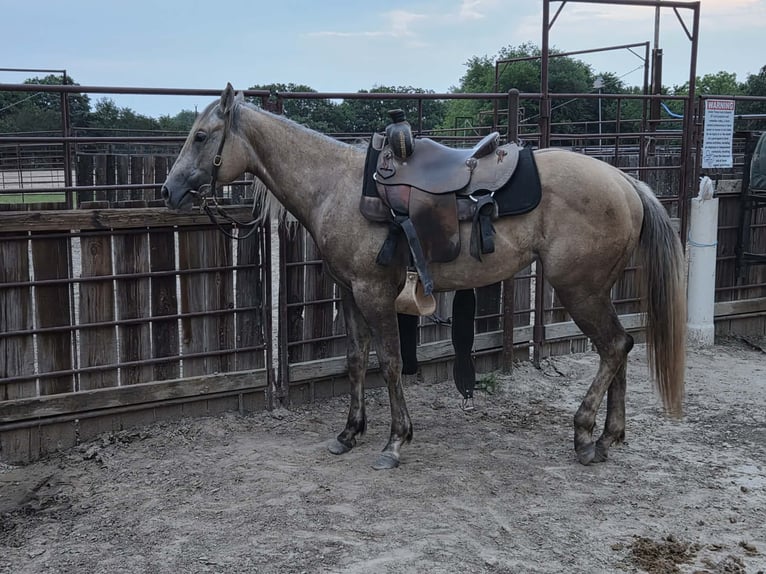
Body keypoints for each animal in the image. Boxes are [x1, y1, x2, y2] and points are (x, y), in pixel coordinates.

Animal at [161, 84, 687, 470]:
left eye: (202, 136)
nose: (167, 190)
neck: (337, 186)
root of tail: (626, 182)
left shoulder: (375, 294)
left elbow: (391, 363)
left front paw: (395, 442)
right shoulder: (349, 294)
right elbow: (356, 361)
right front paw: (348, 433)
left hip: (579, 290)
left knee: (614, 347)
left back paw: (583, 433)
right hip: (596, 292)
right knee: (618, 348)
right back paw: (607, 438)